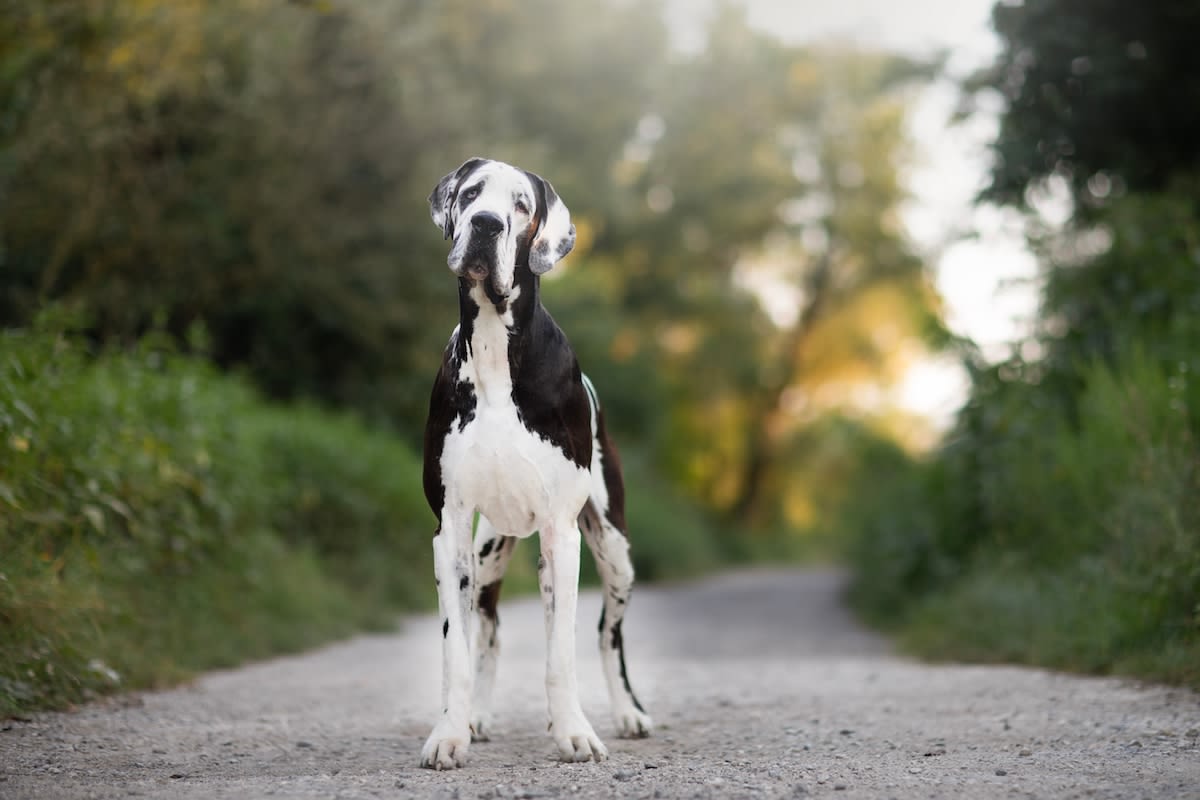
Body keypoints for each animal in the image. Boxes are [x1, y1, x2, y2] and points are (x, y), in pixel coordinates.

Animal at [420, 158, 652, 767]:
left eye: (522, 204)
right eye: (471, 194)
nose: (485, 223)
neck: (496, 354)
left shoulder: (561, 534)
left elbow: (561, 653)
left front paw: (573, 732)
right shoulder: (450, 531)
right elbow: (456, 651)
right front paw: (450, 733)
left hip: (615, 553)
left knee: (608, 634)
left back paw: (628, 712)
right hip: (485, 552)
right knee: (489, 629)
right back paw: (477, 716)